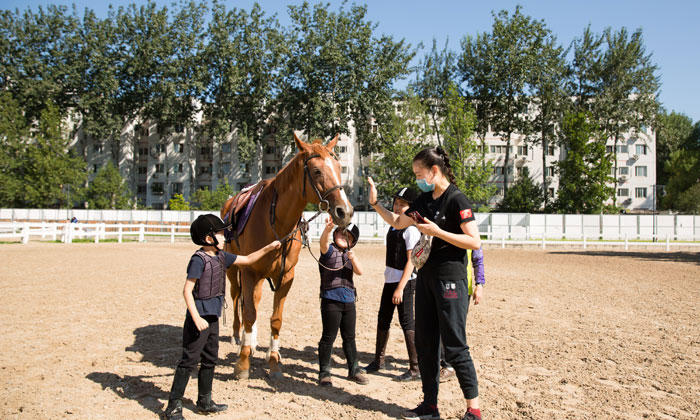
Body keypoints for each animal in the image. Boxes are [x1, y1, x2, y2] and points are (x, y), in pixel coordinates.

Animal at [220, 133, 352, 378]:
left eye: (339, 167)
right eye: (317, 171)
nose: (345, 211)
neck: (277, 223)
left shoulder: (286, 277)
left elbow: (276, 319)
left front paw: (273, 361)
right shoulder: (249, 272)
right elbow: (249, 313)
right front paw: (243, 363)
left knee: (252, 300)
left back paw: (253, 343)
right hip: (234, 269)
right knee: (236, 298)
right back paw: (238, 337)